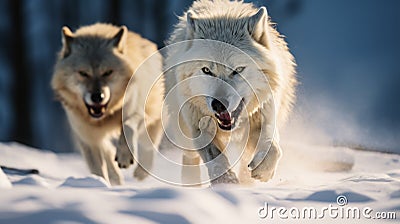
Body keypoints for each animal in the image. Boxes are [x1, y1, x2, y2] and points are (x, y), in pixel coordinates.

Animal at [52, 23, 164, 186]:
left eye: (107, 72)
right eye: (83, 73)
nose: (97, 97)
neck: (105, 117)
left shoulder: (137, 114)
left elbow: (127, 126)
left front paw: (124, 156)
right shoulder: (88, 138)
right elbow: (98, 169)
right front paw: (100, 184)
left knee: (149, 145)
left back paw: (141, 172)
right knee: (107, 150)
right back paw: (116, 177)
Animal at [162, 0, 296, 186]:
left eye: (238, 70)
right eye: (206, 70)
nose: (218, 105)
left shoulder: (266, 113)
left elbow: (273, 146)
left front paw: (263, 170)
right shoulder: (198, 124)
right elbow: (214, 155)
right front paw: (226, 181)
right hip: (183, 127)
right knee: (190, 156)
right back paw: (191, 183)